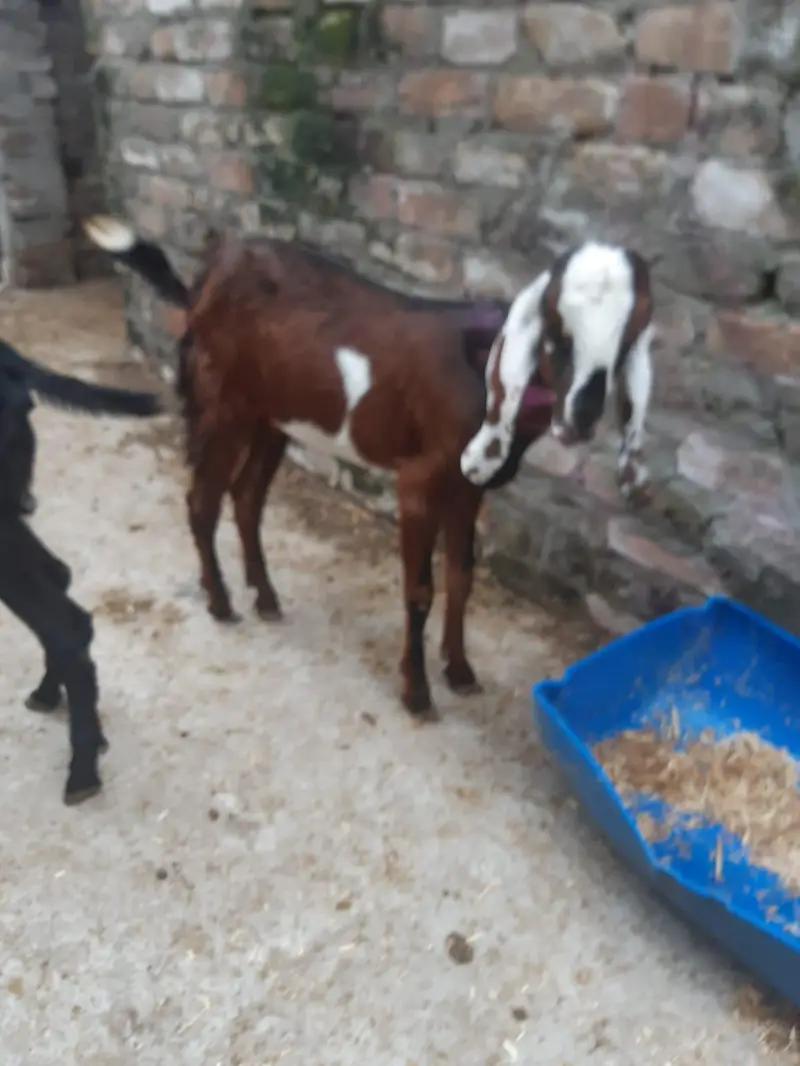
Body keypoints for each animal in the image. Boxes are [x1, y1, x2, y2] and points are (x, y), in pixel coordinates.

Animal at [83, 214, 556, 718]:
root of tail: (208, 276)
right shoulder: (419, 478)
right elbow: (420, 588)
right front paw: (417, 692)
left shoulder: (469, 485)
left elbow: (461, 575)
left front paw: (461, 672)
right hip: (223, 403)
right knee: (202, 500)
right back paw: (221, 603)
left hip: (271, 416)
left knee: (245, 497)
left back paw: (265, 597)